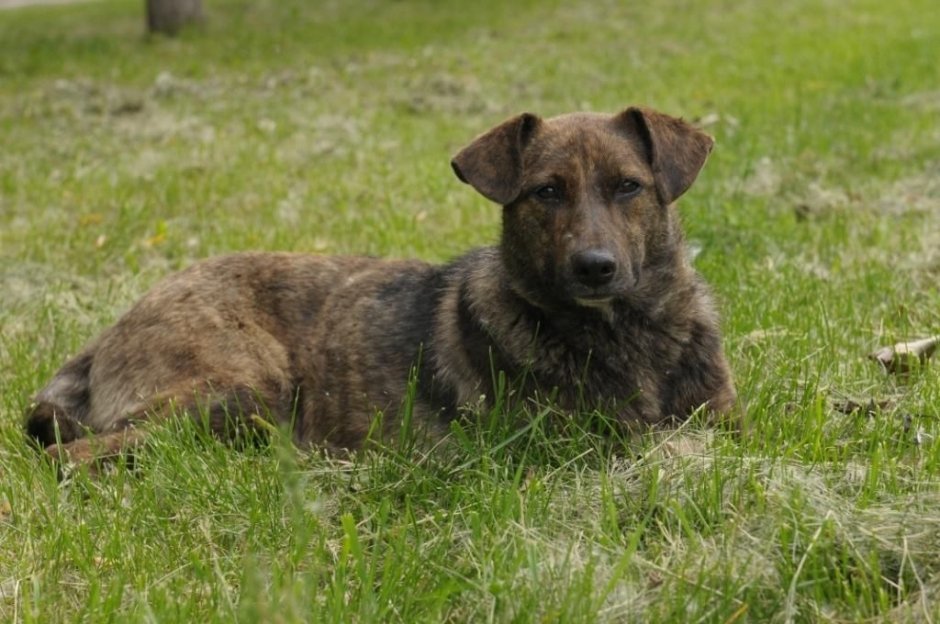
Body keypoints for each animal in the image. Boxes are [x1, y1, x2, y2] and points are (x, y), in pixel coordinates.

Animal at [25, 108, 740, 468]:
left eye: (628, 186)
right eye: (546, 192)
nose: (595, 267)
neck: (629, 332)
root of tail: (107, 333)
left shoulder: (726, 419)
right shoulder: (574, 446)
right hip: (237, 387)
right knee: (72, 455)